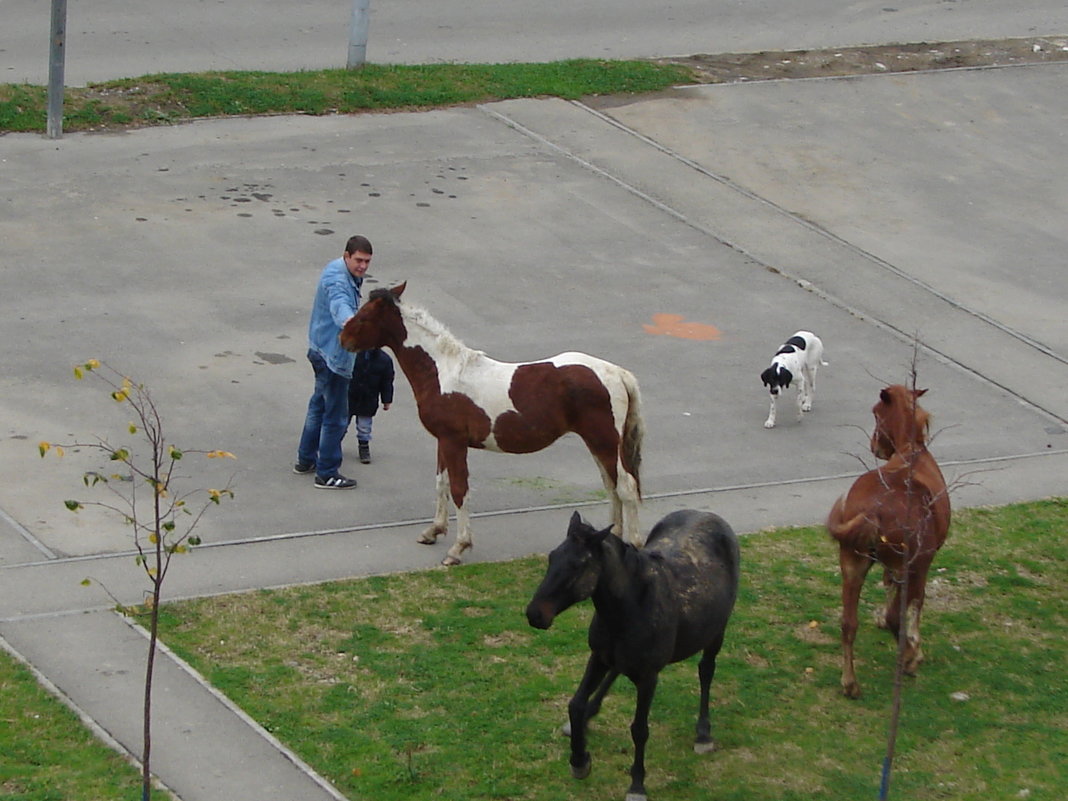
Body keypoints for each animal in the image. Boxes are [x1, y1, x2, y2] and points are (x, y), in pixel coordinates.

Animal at [341, 286, 640, 568]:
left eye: (365, 315)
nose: (342, 339)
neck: (442, 372)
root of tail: (617, 373)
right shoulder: (443, 441)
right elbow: (441, 483)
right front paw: (433, 531)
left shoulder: (454, 442)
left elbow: (459, 490)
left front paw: (457, 549)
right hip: (597, 444)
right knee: (612, 486)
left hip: (604, 442)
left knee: (626, 488)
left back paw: (634, 545)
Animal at [527, 510, 743, 801]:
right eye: (551, 557)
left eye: (578, 566)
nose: (535, 614)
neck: (633, 605)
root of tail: (709, 515)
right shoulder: (598, 657)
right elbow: (576, 703)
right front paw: (579, 761)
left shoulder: (649, 677)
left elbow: (639, 730)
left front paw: (637, 785)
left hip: (716, 632)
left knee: (706, 671)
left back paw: (703, 735)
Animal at [824, 386, 952, 700]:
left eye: (874, 412)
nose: (875, 447)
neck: (912, 451)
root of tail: (874, 509)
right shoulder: (920, 563)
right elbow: (915, 604)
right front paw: (913, 646)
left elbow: (888, 585)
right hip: (911, 564)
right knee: (899, 615)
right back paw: (910, 657)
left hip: (852, 561)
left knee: (848, 623)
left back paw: (850, 683)